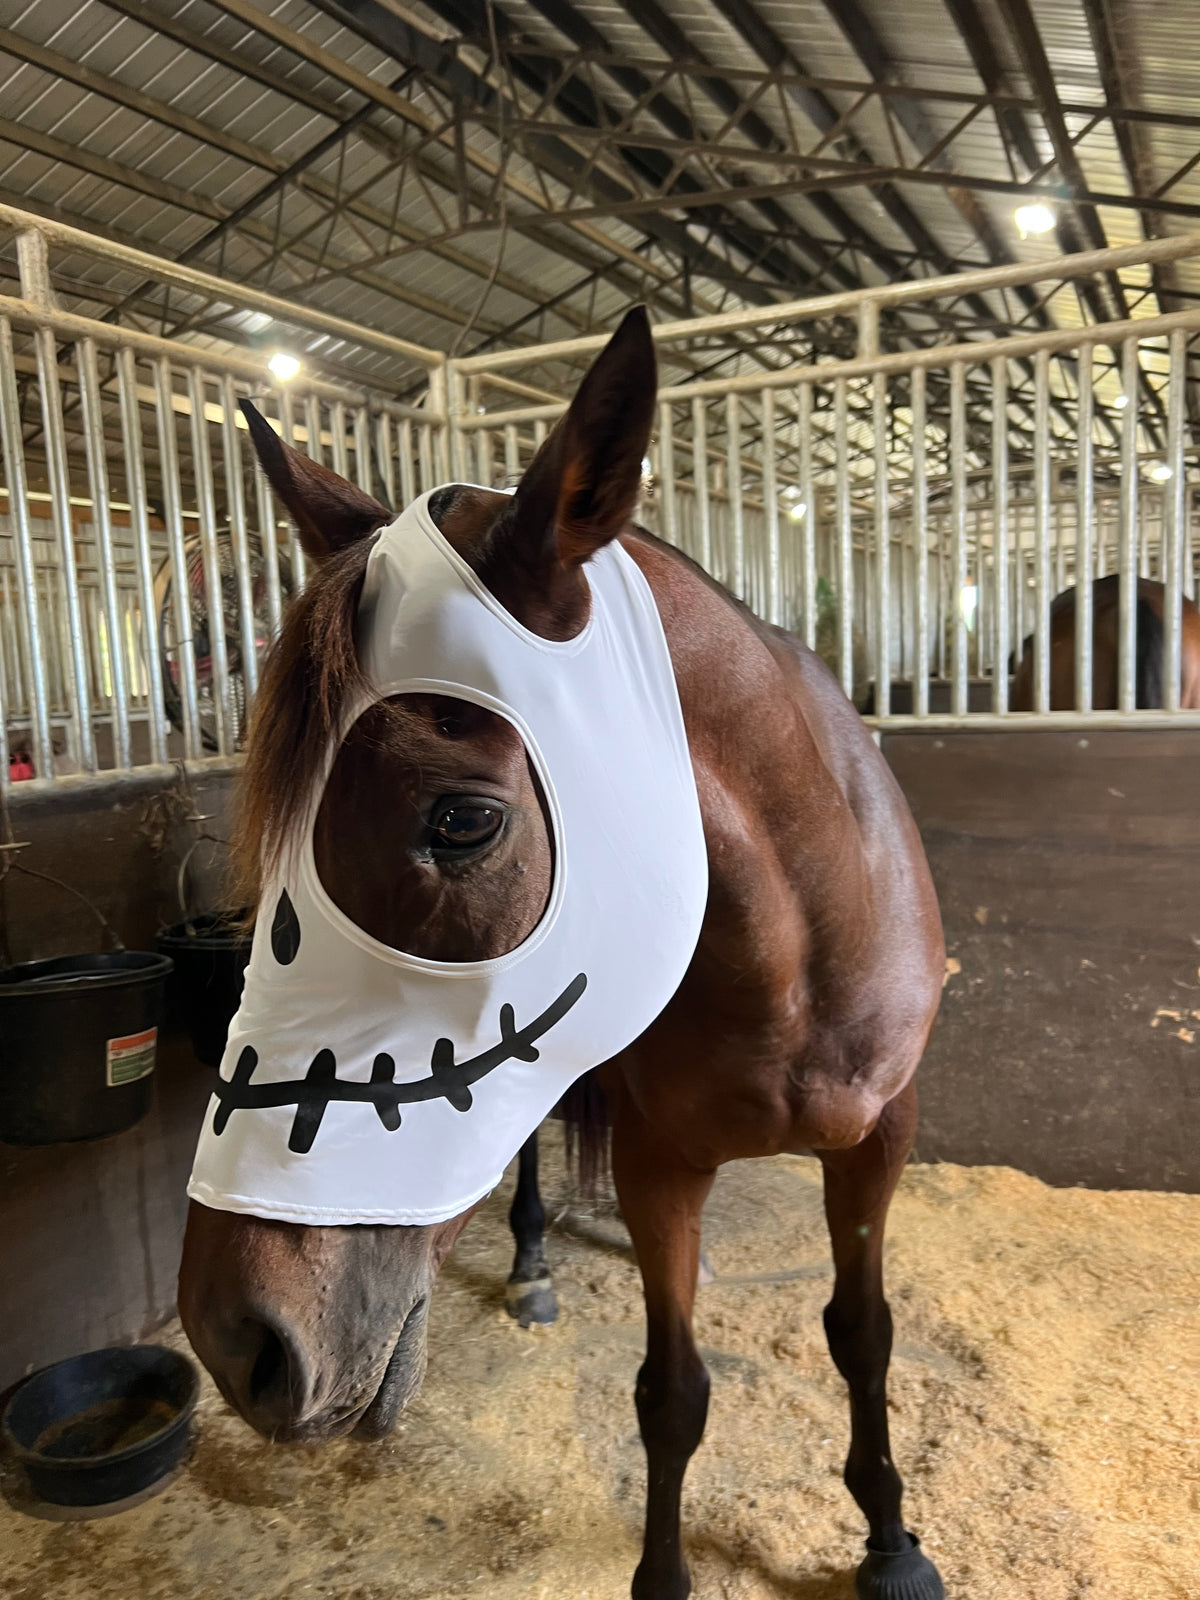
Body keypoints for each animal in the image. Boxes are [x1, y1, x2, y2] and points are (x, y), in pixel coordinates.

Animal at [178, 308, 947, 1600]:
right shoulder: (661, 1160)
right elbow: (673, 1391)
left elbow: (864, 1335)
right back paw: (536, 1255)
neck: (798, 957)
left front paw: (891, 1536)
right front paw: (663, 1573)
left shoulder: (878, 1139)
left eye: (460, 820)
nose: (234, 1339)